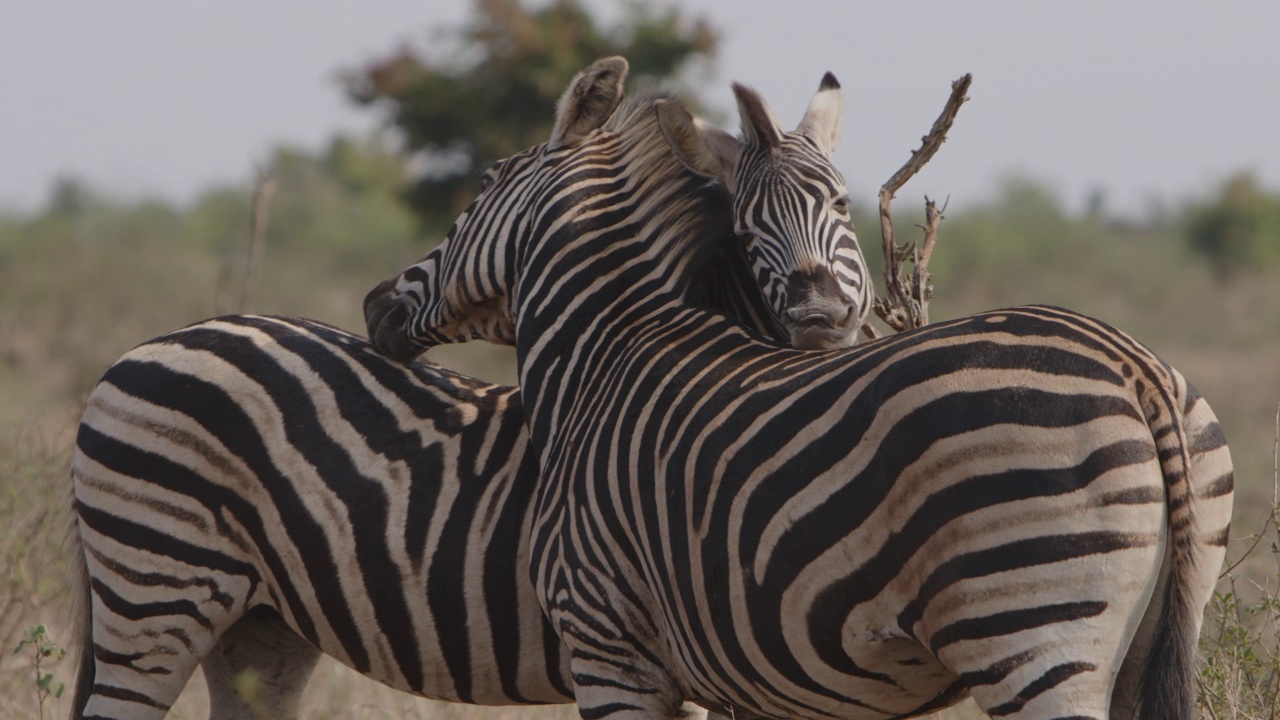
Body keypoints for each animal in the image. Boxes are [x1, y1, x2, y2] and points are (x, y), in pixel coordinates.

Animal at [67, 65, 870, 712]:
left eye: (843, 207)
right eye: (748, 225)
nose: (822, 315)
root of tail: (147, 346)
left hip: (260, 625)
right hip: (156, 590)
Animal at [360, 57, 1228, 717]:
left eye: (480, 184)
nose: (374, 306)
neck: (601, 355)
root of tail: (1131, 364)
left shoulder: (607, 645)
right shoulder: (735, 675)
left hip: (1031, 626)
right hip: (1150, 626)